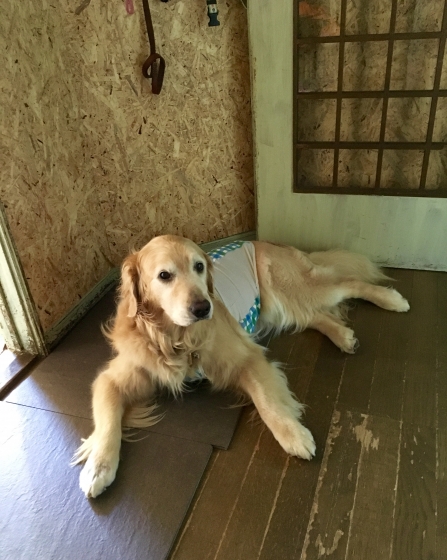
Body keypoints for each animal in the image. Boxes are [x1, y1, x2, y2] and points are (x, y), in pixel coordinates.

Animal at [73, 235, 410, 498]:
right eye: (164, 275)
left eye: (199, 267)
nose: (203, 308)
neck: (175, 340)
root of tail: (265, 242)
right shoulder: (112, 379)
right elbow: (106, 421)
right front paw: (97, 467)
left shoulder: (245, 357)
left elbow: (268, 404)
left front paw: (295, 436)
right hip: (281, 305)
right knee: (314, 315)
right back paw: (343, 336)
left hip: (289, 288)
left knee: (348, 283)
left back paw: (392, 300)